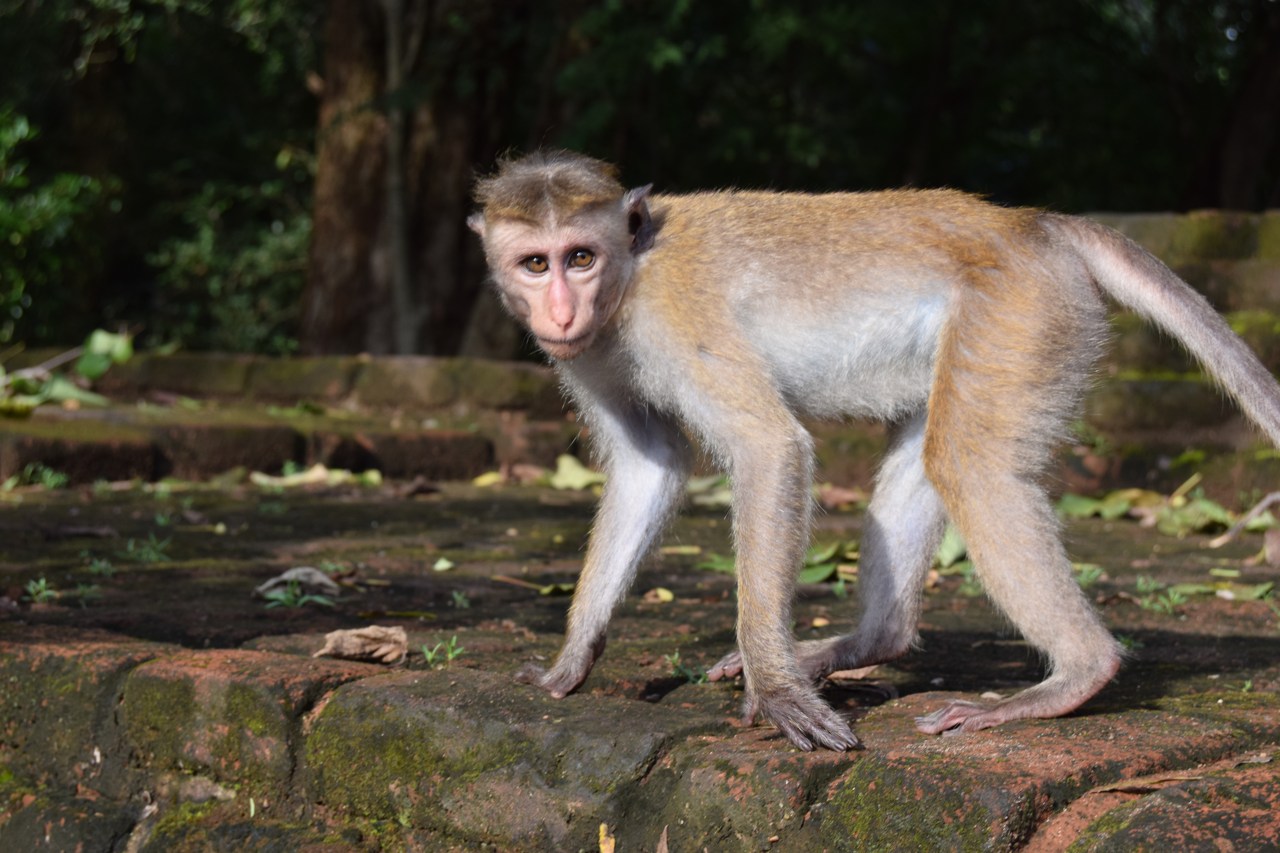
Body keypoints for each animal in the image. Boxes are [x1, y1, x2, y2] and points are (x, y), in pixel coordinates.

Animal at [465, 149, 1280, 747]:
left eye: (579, 256)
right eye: (535, 263)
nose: (559, 312)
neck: (628, 280)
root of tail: (1035, 225)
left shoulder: (675, 316)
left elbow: (770, 449)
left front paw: (776, 688)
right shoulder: (589, 358)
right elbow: (647, 469)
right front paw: (570, 662)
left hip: (1020, 313)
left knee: (969, 466)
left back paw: (1074, 675)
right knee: (934, 452)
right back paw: (859, 645)